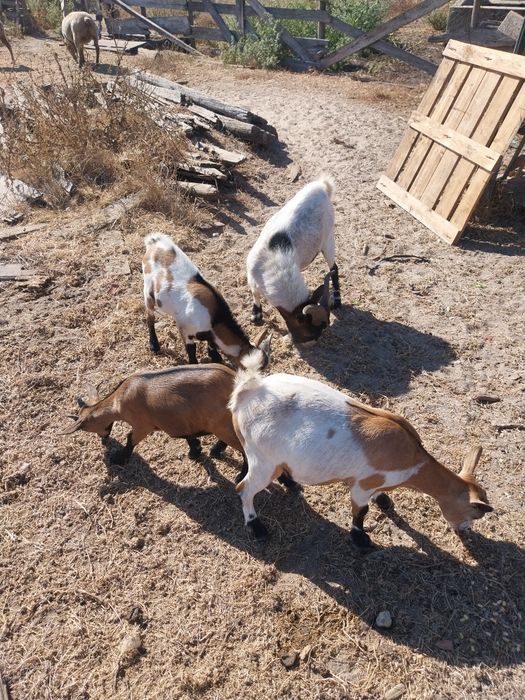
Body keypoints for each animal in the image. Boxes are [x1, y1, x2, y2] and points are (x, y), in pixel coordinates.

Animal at [62, 363, 297, 490]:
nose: (104, 439)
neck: (120, 399)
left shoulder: (142, 424)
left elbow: (130, 439)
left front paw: (119, 457)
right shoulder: (180, 419)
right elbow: (187, 435)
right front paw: (195, 450)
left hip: (223, 425)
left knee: (246, 448)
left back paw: (242, 474)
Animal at [143, 232, 271, 367]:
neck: (214, 317)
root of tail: (155, 242)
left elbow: (212, 343)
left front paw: (215, 356)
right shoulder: (184, 328)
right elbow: (191, 348)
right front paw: (194, 364)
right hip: (148, 291)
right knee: (149, 317)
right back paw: (154, 345)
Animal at [229, 357, 493, 548]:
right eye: (475, 513)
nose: (465, 532)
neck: (413, 458)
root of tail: (249, 391)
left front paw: (384, 500)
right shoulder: (362, 484)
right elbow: (361, 511)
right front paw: (360, 540)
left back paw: (290, 482)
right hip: (263, 460)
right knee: (244, 489)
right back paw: (256, 527)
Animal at [246, 176, 340, 344]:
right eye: (309, 333)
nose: (311, 344)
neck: (271, 264)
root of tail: (322, 186)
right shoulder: (251, 276)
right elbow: (255, 293)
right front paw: (256, 315)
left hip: (328, 238)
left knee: (334, 268)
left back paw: (337, 300)